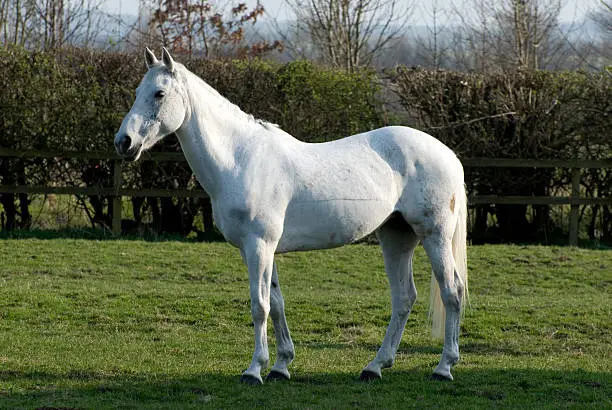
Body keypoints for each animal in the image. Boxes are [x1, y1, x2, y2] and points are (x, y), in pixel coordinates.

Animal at [115, 48, 468, 384]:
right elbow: (277, 304)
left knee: (452, 292)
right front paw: (281, 366)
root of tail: (448, 154)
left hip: (434, 236)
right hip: (397, 236)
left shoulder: (258, 245)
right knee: (404, 298)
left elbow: (259, 306)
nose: (124, 142)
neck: (240, 159)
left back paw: (444, 367)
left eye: (159, 93)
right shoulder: (262, 249)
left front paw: (254, 370)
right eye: (138, 91)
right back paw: (375, 366)